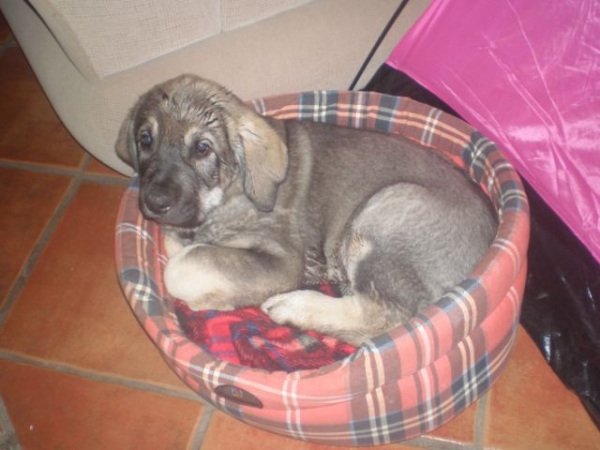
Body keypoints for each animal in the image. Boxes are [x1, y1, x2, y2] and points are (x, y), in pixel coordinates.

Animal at [117, 75, 496, 346]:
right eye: (145, 140)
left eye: (202, 148)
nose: (155, 202)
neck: (233, 189)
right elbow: (183, 246)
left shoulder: (281, 258)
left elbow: (186, 264)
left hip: (384, 212)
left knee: (385, 317)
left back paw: (294, 306)